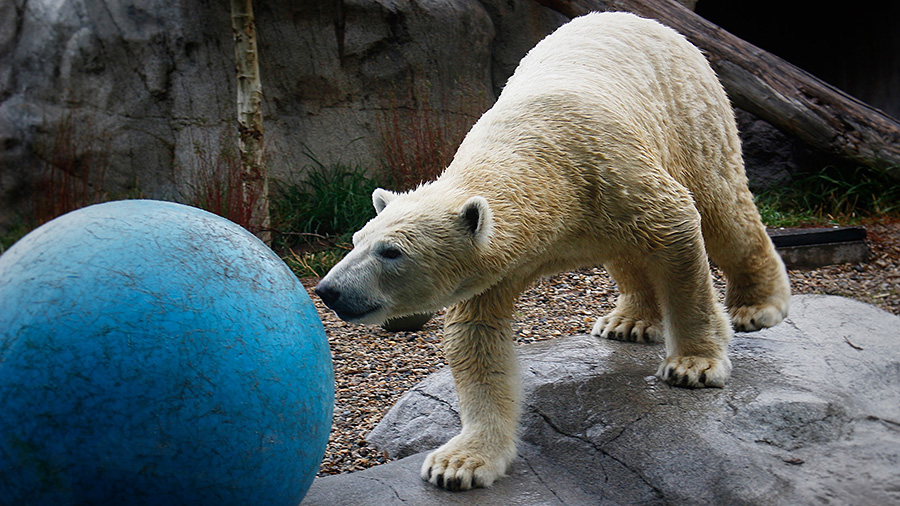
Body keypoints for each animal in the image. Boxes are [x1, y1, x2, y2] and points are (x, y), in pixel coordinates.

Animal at [315, 11, 790, 491]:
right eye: (356, 241)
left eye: (390, 252)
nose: (328, 290)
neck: (545, 170)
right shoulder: (499, 268)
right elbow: (477, 340)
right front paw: (459, 463)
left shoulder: (612, 173)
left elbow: (678, 232)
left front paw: (693, 364)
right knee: (629, 254)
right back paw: (628, 322)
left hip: (691, 115)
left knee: (723, 209)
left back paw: (757, 306)